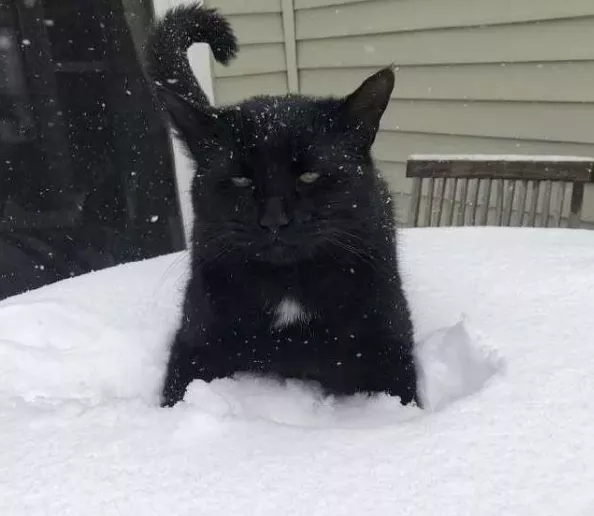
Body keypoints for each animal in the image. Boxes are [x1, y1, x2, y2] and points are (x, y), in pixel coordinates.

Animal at [146, 3, 418, 408]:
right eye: (241, 179)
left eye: (309, 175)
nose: (274, 220)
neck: (288, 293)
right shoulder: (193, 343)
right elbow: (175, 394)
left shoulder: (390, 344)